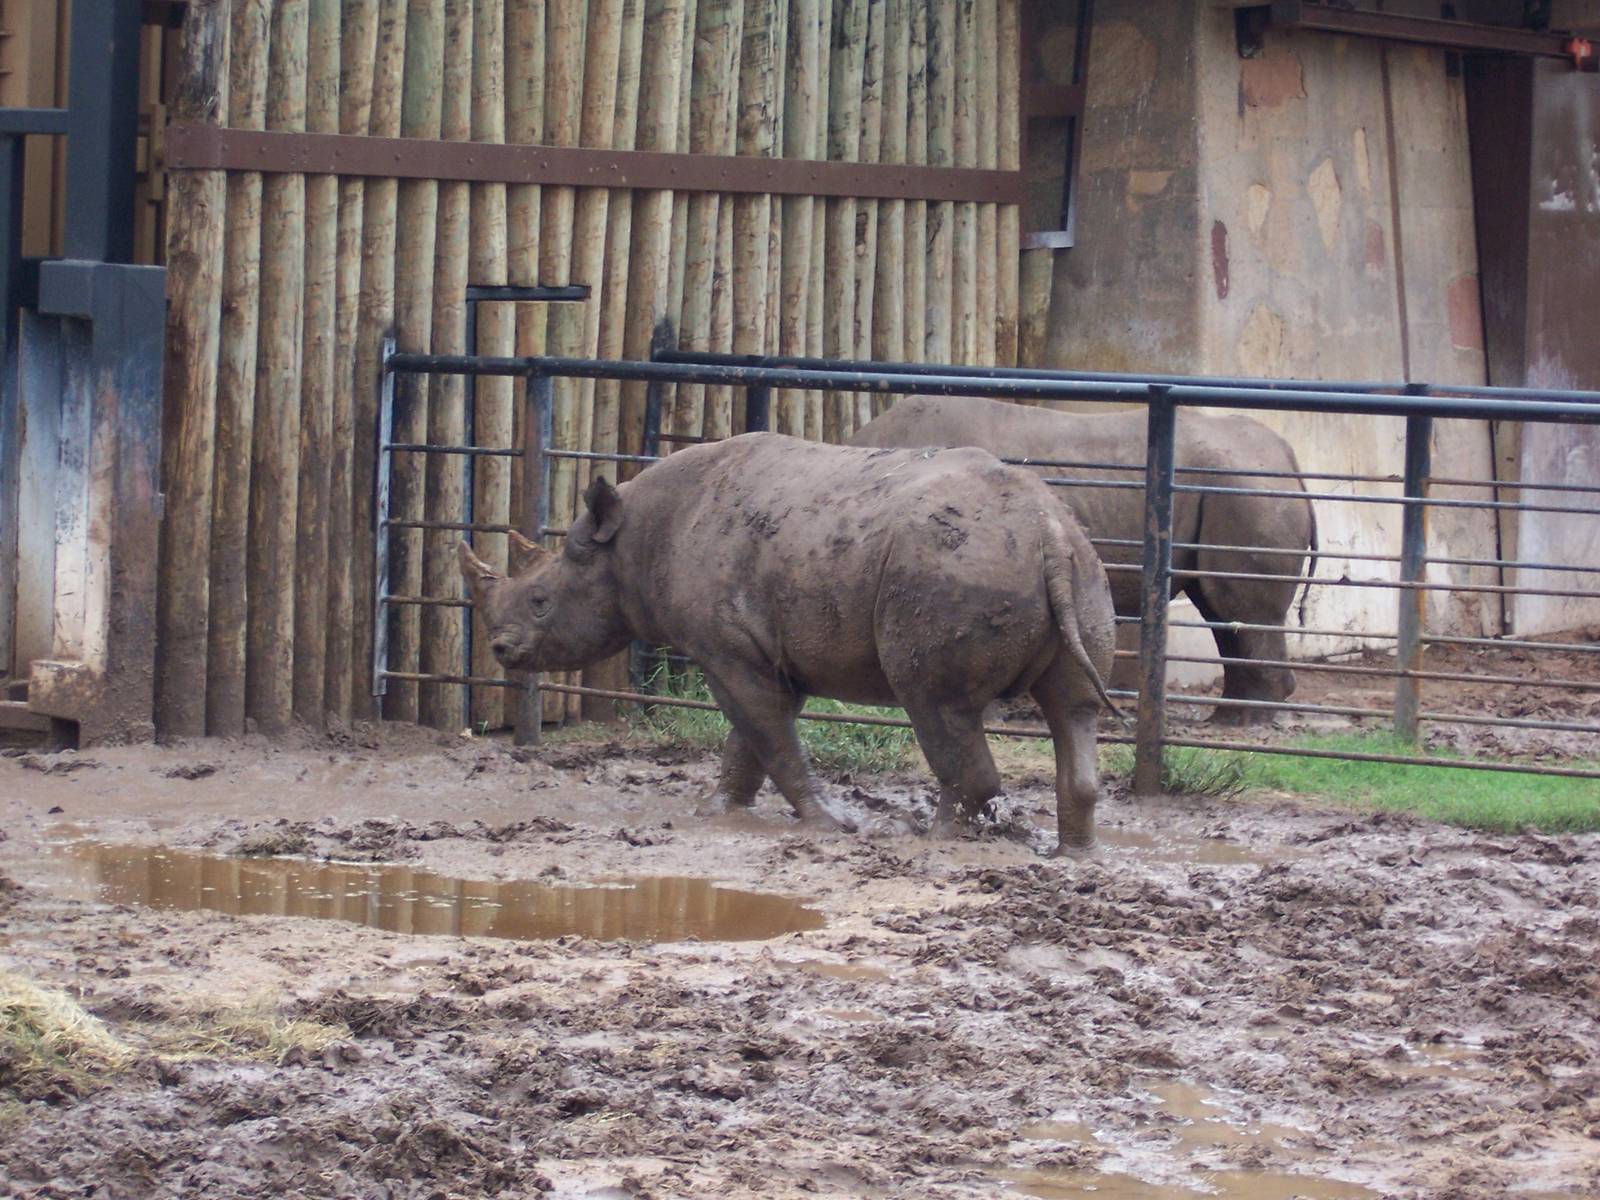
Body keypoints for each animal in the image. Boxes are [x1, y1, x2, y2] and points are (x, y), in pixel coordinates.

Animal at [459, 432, 1119, 852]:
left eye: (540, 602)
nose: (501, 652)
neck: (628, 543)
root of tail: (1047, 529)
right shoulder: (774, 651)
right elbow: (750, 742)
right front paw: (719, 814)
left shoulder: (726, 649)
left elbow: (767, 735)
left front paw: (826, 825)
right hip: (1081, 566)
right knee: (1073, 708)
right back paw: (1073, 853)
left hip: (951, 566)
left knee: (936, 704)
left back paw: (938, 842)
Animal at [851, 396, 1318, 723]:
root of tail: (1292, 462)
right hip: (1239, 489)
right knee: (1222, 613)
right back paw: (1230, 717)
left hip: (1247, 491)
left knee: (1239, 610)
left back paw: (1241, 723)